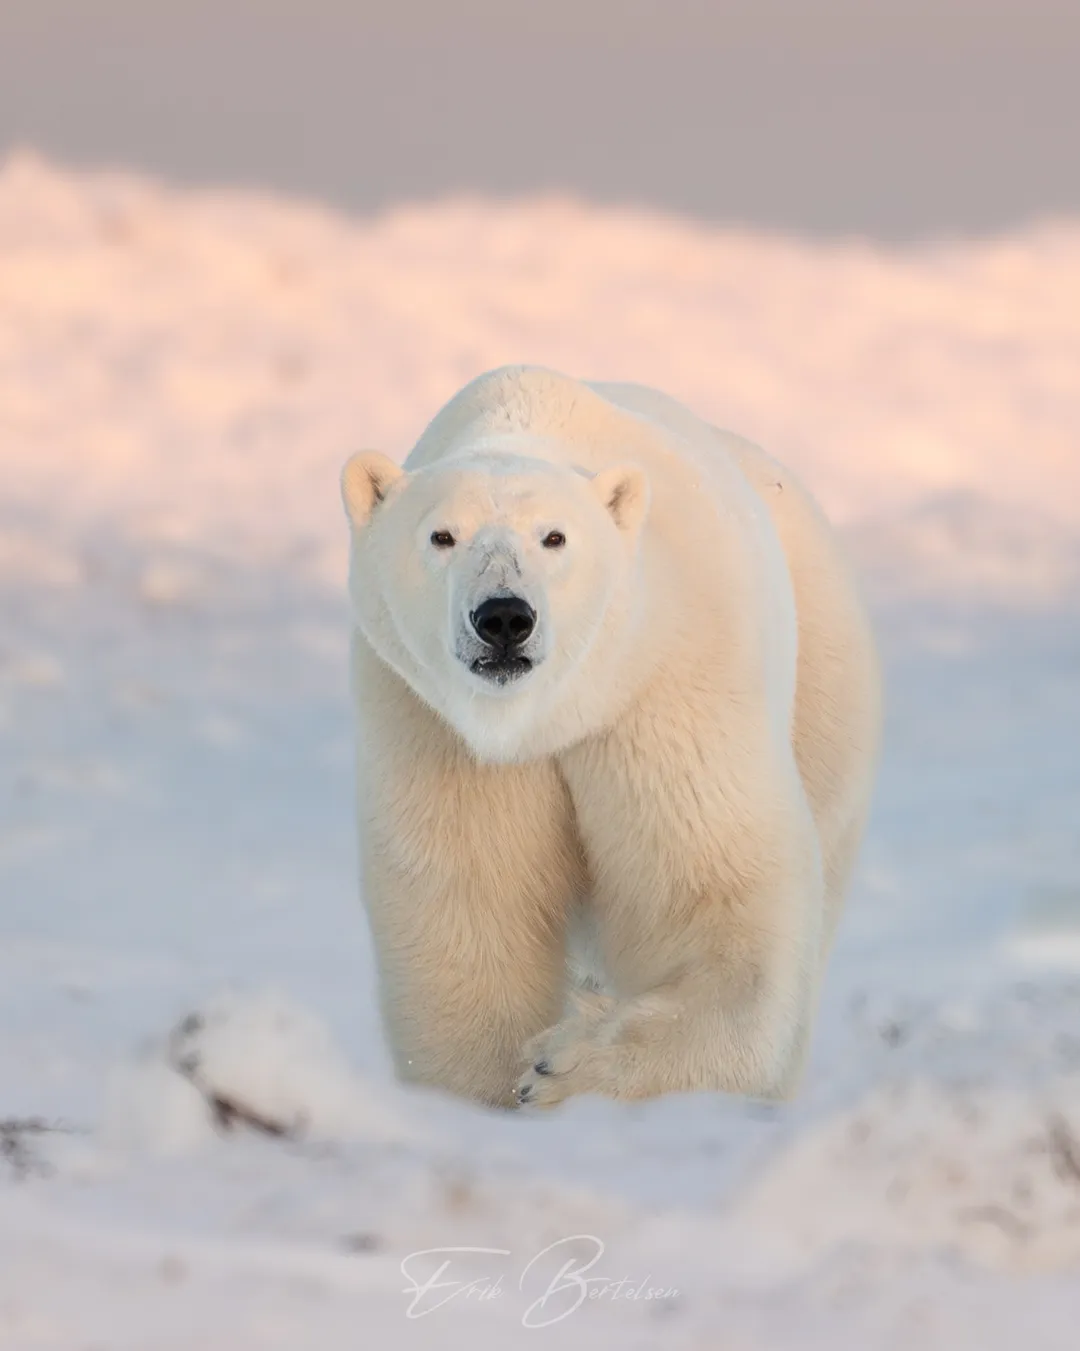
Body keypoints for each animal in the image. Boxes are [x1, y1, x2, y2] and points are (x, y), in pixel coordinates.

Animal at [341, 366, 881, 1110]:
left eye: (555, 537)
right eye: (441, 535)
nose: (504, 618)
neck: (548, 715)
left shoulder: (663, 685)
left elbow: (719, 900)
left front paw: (564, 1067)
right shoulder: (435, 725)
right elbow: (471, 912)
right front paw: (493, 1089)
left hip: (828, 692)